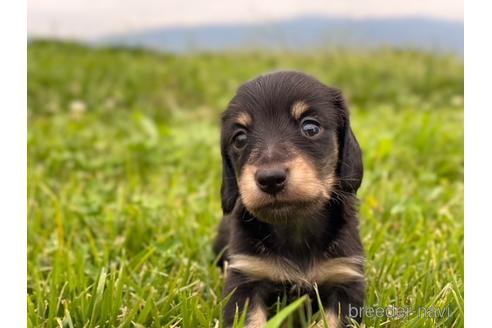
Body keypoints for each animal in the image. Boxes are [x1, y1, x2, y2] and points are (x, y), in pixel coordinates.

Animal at [215, 72, 366, 328]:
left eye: (310, 127)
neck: (294, 228)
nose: (270, 179)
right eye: (239, 139)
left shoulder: (345, 280)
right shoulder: (245, 277)